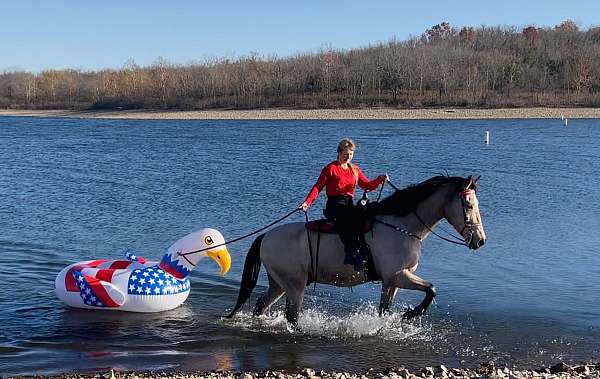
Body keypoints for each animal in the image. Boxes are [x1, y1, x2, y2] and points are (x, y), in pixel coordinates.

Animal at [227, 177, 486, 326]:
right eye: (468, 205)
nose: (480, 240)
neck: (401, 226)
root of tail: (266, 237)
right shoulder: (398, 276)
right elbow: (431, 289)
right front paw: (410, 314)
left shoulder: (391, 282)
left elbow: (385, 309)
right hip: (294, 285)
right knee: (292, 315)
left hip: (278, 284)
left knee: (261, 305)